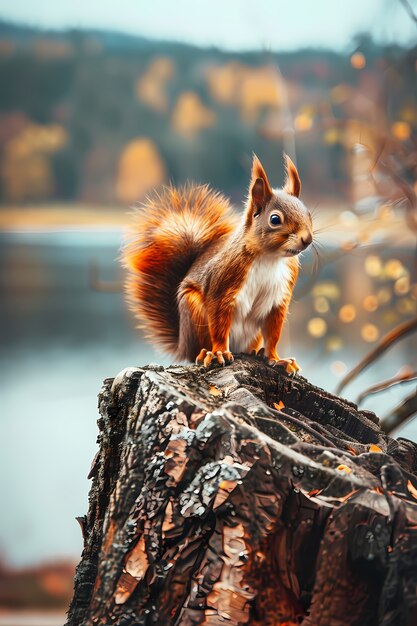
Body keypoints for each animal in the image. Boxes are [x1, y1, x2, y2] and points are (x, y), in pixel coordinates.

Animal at [122, 154, 312, 372]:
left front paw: (276, 358)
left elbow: (273, 333)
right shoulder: (222, 285)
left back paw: (256, 352)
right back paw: (206, 353)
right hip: (194, 313)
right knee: (198, 349)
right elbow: (219, 323)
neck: (269, 258)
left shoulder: (279, 298)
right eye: (274, 219)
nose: (307, 239)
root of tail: (182, 345)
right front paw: (219, 352)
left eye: (309, 213)